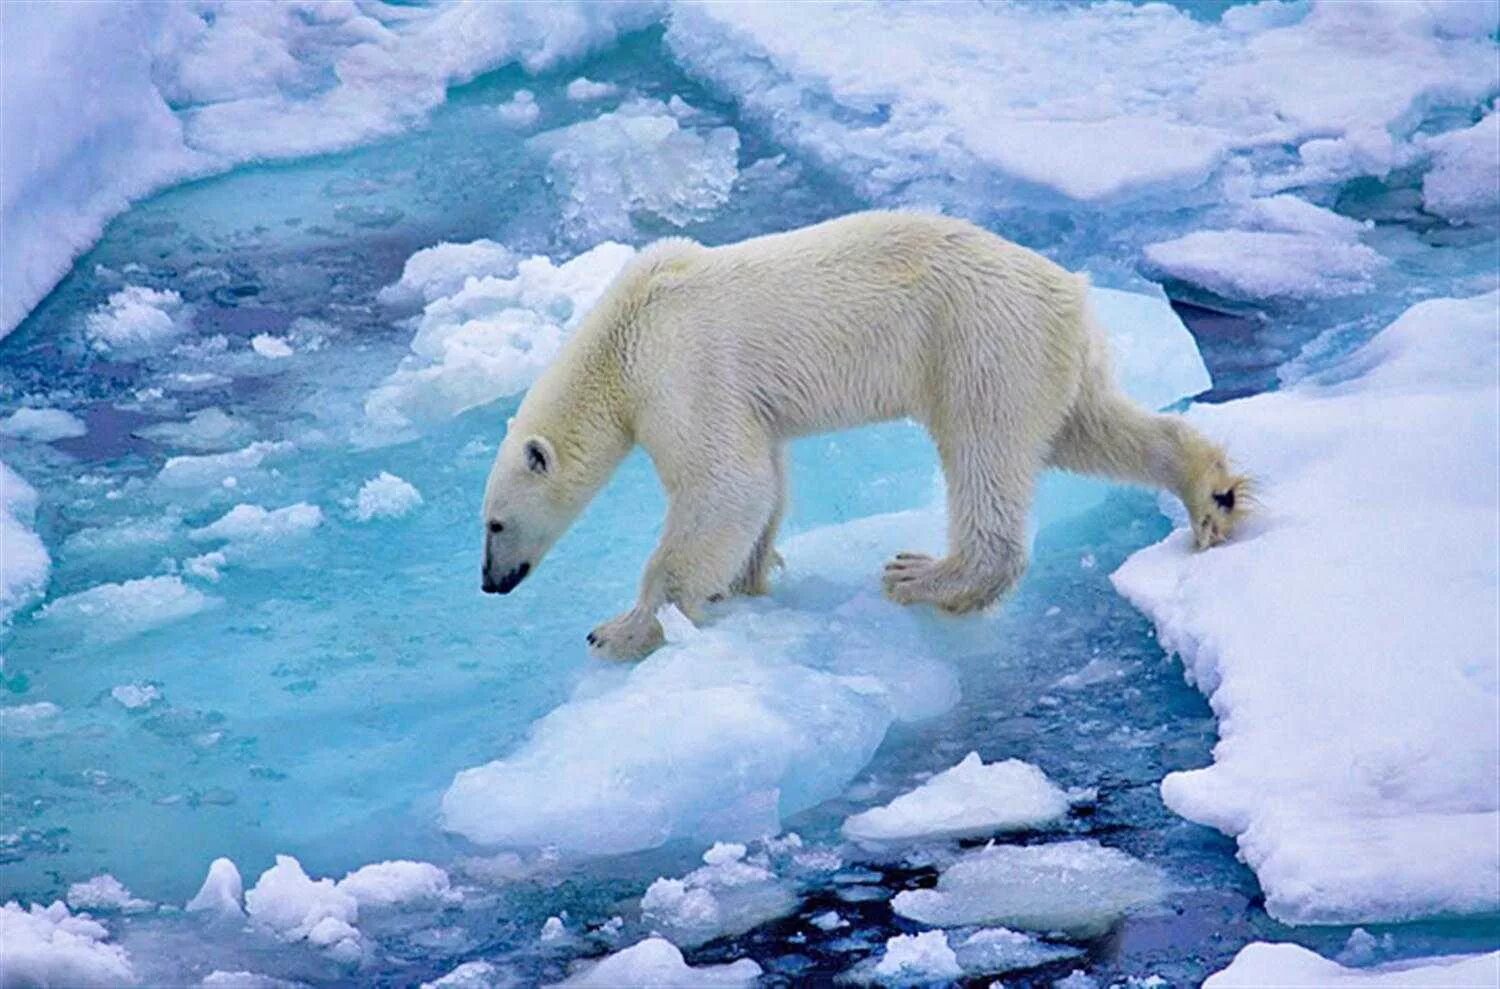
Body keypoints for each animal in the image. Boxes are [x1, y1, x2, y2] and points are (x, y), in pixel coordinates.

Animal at [486, 211, 1248, 657]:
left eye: (493, 523)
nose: (490, 584)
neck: (621, 337)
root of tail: (1072, 288)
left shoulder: (681, 370)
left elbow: (726, 484)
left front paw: (622, 628)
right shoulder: (734, 395)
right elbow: (762, 480)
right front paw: (743, 579)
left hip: (977, 343)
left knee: (983, 453)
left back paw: (927, 576)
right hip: (1047, 358)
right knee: (1086, 428)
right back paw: (1213, 493)